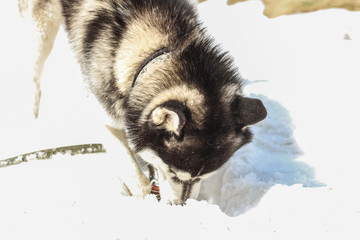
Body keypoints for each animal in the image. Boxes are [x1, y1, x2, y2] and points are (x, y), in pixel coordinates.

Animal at [19, 0, 268, 204]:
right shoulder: (103, 114)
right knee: (34, 68)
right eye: (173, 172)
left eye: (204, 176)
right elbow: (135, 174)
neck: (158, 51)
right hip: (44, 21)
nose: (181, 206)